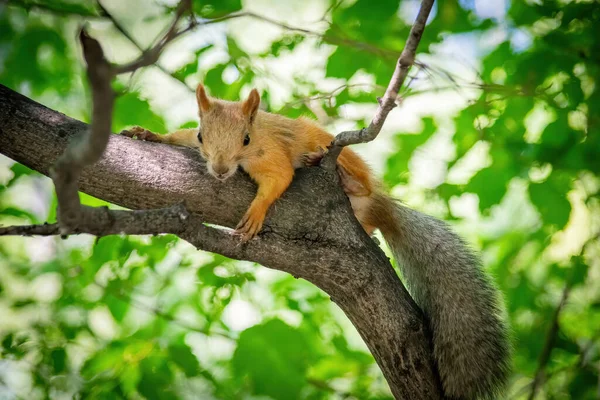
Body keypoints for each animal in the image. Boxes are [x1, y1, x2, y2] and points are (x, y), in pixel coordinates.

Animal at [120, 83, 510, 398]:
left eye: (246, 139)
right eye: (202, 136)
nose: (219, 170)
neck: (254, 140)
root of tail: (380, 206)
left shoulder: (272, 155)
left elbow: (279, 179)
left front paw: (257, 211)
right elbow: (177, 137)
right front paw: (148, 135)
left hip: (340, 152)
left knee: (357, 180)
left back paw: (340, 173)